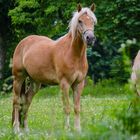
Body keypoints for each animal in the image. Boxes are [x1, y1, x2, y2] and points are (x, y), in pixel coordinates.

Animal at [12, 3, 97, 132]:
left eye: (92, 21)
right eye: (80, 21)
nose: (90, 38)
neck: (73, 54)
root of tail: (23, 42)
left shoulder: (79, 84)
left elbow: (77, 108)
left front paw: (78, 130)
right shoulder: (64, 84)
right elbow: (67, 107)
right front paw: (67, 130)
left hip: (35, 83)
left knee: (26, 101)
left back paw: (26, 129)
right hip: (19, 78)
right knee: (17, 102)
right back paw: (16, 129)